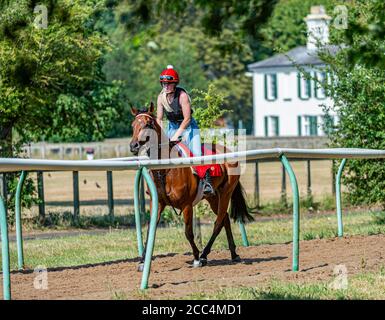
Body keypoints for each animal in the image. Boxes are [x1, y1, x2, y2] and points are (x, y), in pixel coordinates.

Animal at [130, 102, 254, 268]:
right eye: (133, 125)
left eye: (148, 124)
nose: (134, 145)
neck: (166, 170)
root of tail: (228, 151)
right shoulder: (158, 203)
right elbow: (150, 230)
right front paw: (143, 261)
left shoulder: (186, 205)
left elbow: (188, 232)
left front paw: (195, 257)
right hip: (212, 197)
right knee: (225, 219)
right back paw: (233, 254)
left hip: (226, 193)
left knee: (218, 222)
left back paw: (204, 255)